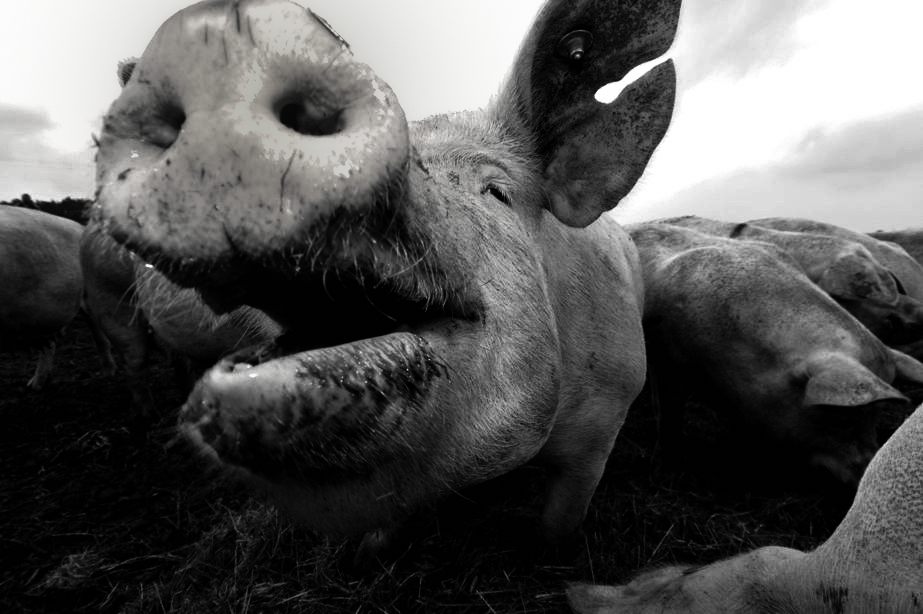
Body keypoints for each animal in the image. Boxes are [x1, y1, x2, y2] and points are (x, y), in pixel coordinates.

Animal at [0, 206, 108, 389]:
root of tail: (80, 227)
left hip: (90, 294)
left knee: (98, 332)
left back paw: (110, 374)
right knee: (49, 342)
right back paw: (34, 385)